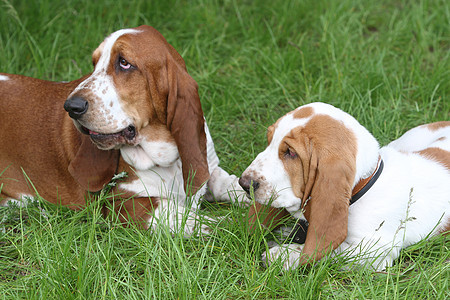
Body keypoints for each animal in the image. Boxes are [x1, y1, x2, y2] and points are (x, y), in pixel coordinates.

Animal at [0, 24, 244, 233]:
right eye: (94, 64)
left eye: (124, 63)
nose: (71, 107)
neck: (165, 155)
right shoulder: (124, 204)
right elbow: (205, 222)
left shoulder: (208, 168)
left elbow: (228, 183)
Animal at [239, 102, 450, 270]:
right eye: (269, 141)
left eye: (291, 153)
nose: (244, 183)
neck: (364, 186)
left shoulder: (375, 251)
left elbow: (333, 250)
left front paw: (284, 254)